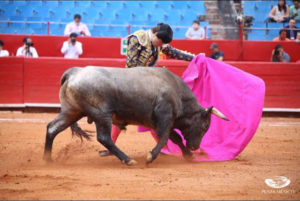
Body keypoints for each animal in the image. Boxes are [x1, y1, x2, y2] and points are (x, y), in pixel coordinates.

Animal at [43, 66, 229, 165]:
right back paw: (128, 160)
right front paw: (151, 157)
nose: (195, 147)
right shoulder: (165, 118)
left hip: (71, 112)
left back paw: (47, 159)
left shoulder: (162, 122)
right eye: (204, 126)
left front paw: (188, 155)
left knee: (52, 128)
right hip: (102, 114)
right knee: (104, 137)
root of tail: (75, 72)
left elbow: (175, 138)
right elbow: (164, 138)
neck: (177, 92)